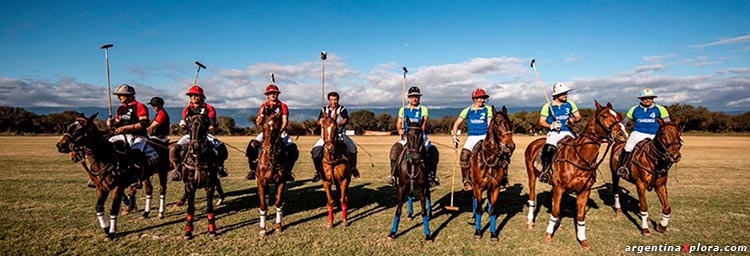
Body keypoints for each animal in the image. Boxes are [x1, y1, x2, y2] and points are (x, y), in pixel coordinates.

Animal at [256, 106, 296, 238]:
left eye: (276, 127)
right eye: (263, 126)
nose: (268, 148)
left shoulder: (281, 181)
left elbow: (278, 203)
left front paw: (278, 226)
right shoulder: (261, 181)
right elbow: (263, 204)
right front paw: (262, 229)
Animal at [470, 105, 516, 241]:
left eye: (510, 123)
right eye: (497, 123)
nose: (510, 146)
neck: (490, 160)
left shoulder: (495, 187)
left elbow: (493, 210)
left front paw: (493, 233)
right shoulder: (478, 187)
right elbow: (478, 209)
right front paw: (477, 232)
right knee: (475, 201)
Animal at [524, 101, 632, 249]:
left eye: (618, 116)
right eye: (604, 116)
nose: (623, 134)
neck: (580, 157)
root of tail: (534, 143)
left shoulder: (584, 190)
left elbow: (580, 216)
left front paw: (583, 240)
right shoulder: (559, 187)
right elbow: (555, 211)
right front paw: (548, 235)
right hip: (531, 176)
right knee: (532, 197)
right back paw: (530, 222)